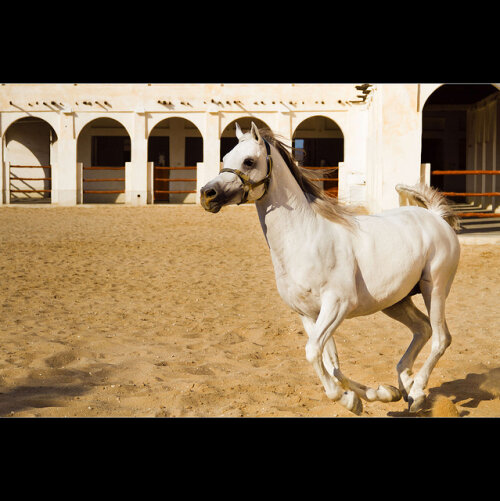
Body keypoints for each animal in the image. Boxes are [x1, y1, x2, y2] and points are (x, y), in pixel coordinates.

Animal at [200, 122, 460, 414]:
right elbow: (332, 363)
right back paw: (405, 383)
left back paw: (416, 392)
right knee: (422, 329)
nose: (207, 195)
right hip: (395, 301)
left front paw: (348, 398)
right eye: (225, 158)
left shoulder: (337, 305)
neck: (305, 238)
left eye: (248, 161)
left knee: (441, 338)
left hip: (434, 289)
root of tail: (436, 217)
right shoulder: (308, 314)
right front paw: (376, 394)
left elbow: (313, 352)